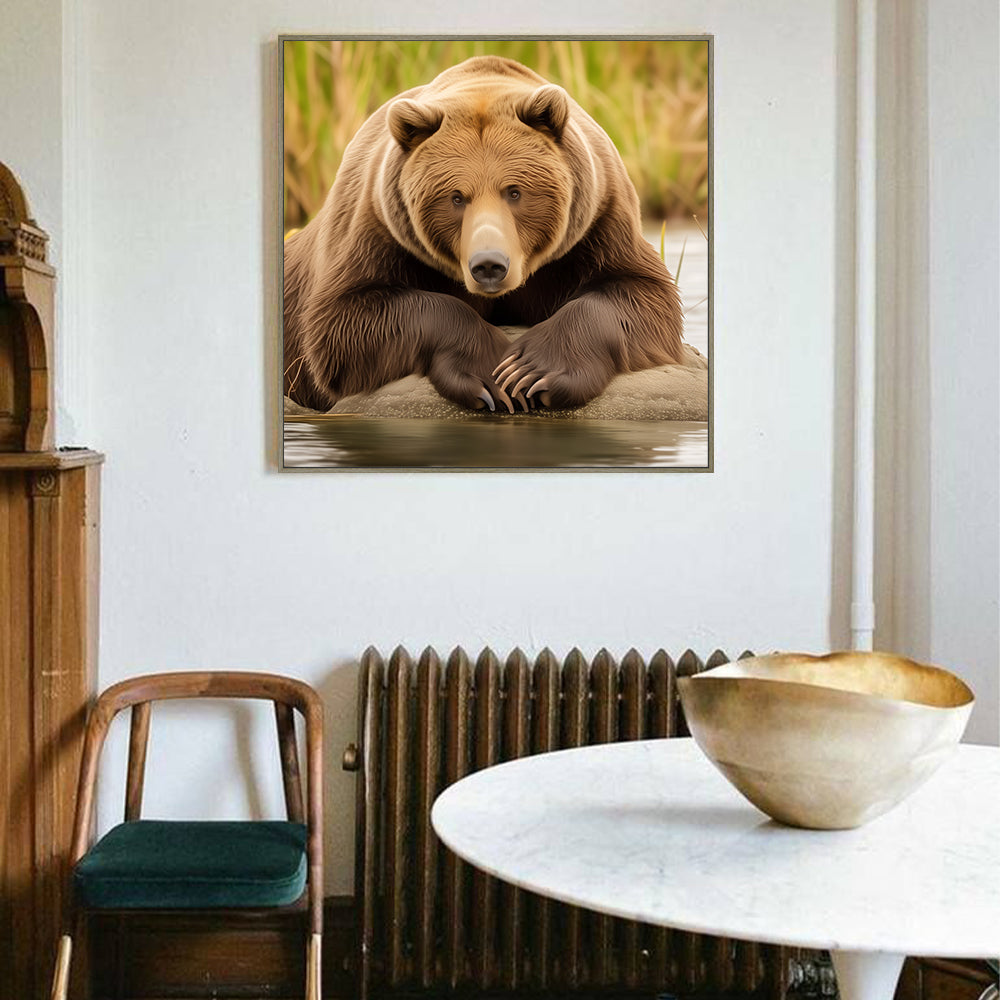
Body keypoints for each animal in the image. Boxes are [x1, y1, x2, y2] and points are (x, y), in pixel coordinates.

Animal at [283, 55, 684, 414]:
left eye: (515, 191)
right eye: (456, 196)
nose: (489, 265)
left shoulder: (597, 223)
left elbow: (640, 293)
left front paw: (531, 371)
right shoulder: (378, 229)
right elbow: (343, 321)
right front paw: (491, 373)